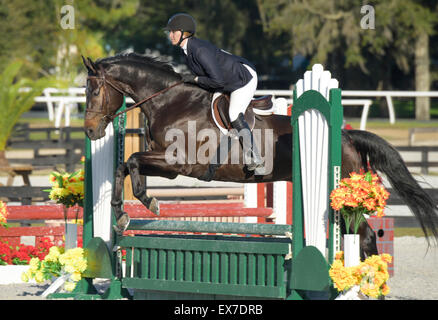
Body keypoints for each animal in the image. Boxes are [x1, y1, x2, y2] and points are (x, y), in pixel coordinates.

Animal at [81, 51, 438, 258]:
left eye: (94, 90)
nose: (90, 131)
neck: (171, 101)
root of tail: (348, 135)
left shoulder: (177, 163)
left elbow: (131, 162)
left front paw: (147, 201)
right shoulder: (165, 163)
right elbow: (123, 167)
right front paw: (121, 213)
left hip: (341, 197)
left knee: (364, 236)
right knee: (361, 235)